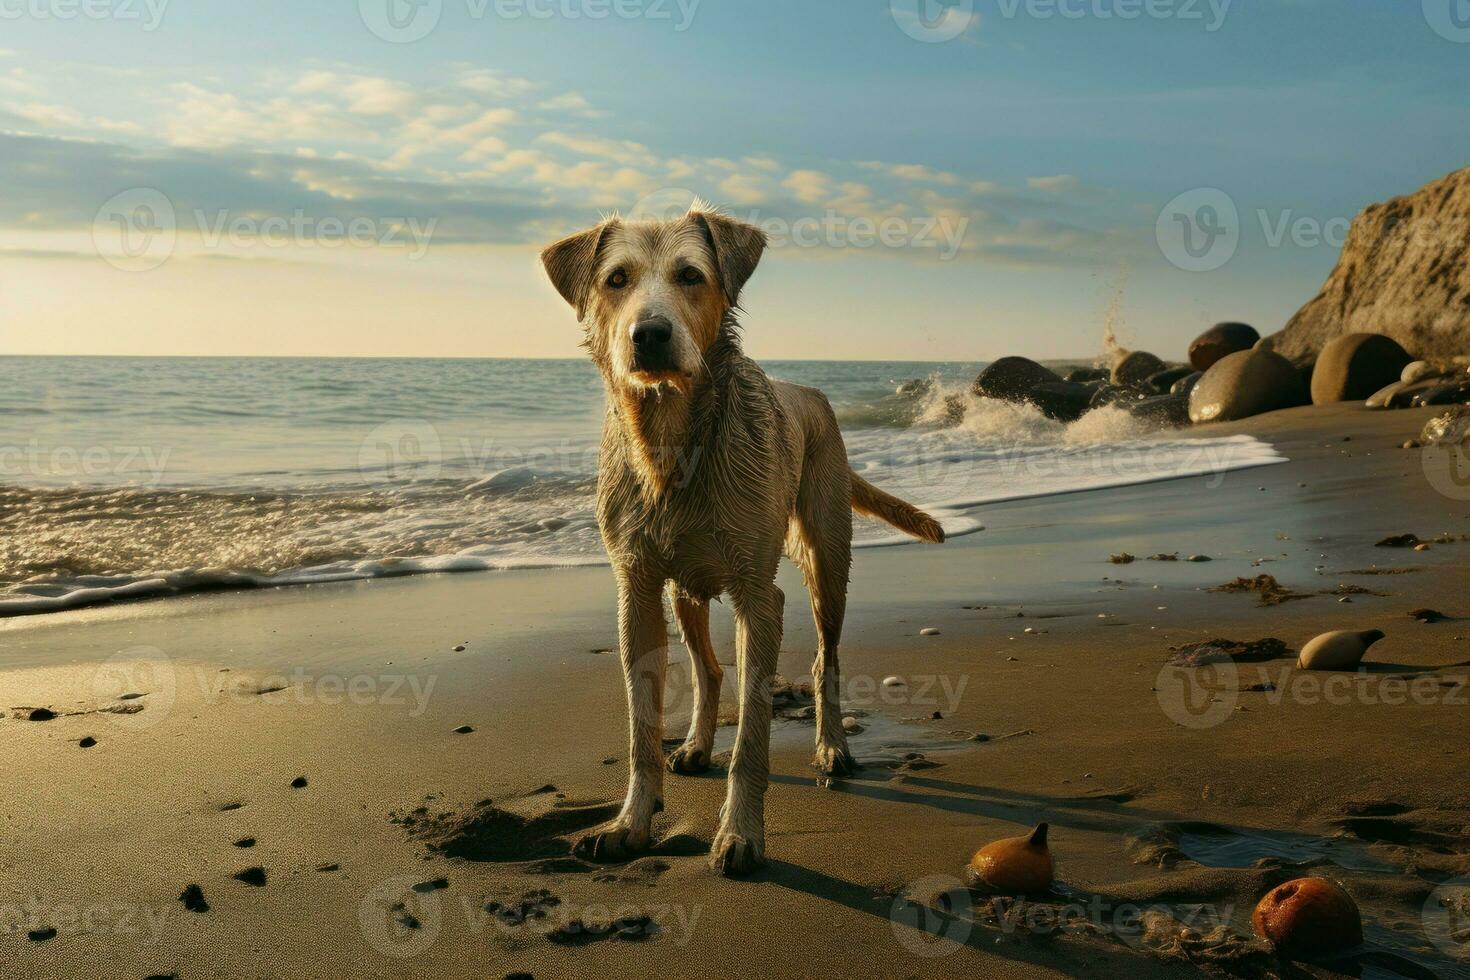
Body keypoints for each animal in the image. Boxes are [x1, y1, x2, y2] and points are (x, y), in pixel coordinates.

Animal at [540, 202, 940, 875]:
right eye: (616, 279)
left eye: (691, 275)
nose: (649, 334)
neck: (674, 442)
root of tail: (812, 394)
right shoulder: (637, 589)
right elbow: (641, 727)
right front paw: (630, 822)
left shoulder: (758, 594)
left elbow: (753, 731)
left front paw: (740, 834)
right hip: (686, 589)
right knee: (707, 669)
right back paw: (698, 743)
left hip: (826, 555)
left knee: (826, 657)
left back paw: (832, 746)